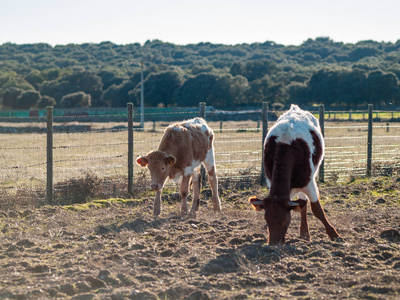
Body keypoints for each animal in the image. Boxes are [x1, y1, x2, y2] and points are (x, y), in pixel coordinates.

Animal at [250, 104, 340, 245]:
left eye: (284, 221)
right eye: (267, 220)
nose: (273, 244)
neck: (284, 146)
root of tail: (295, 108)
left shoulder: (309, 183)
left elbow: (317, 209)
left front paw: (334, 234)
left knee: (304, 201)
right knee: (302, 202)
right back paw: (304, 233)